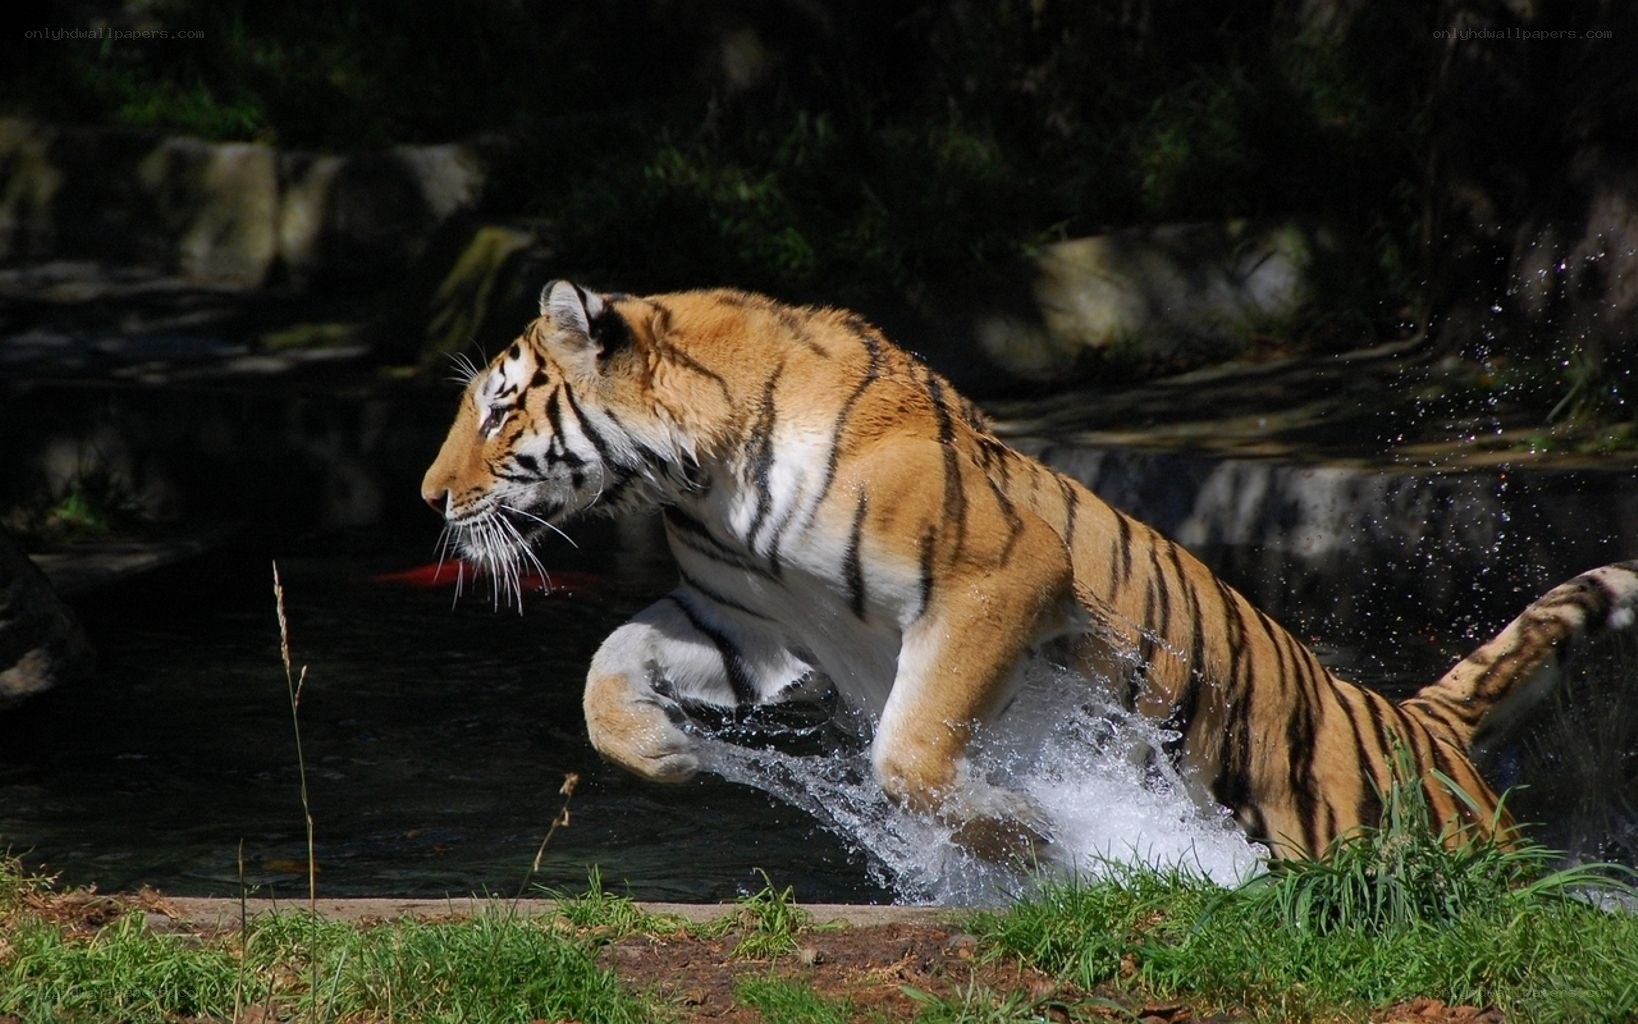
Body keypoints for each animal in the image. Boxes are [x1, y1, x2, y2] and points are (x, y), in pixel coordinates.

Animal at [421, 280, 1638, 863]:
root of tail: (1423, 721)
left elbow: (910, 754)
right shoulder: (745, 619)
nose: (430, 498)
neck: (699, 476)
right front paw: (667, 753)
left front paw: (1035, 842)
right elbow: (604, 669)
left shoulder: (997, 580)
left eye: (500, 408)